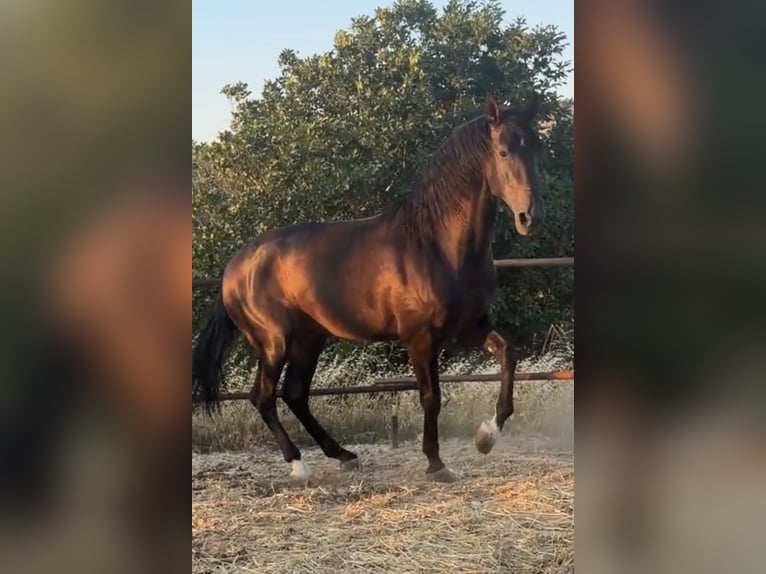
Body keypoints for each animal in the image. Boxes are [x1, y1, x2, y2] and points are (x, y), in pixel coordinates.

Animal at [193, 96, 544, 483]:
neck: (437, 245)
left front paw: (485, 438)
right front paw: (436, 464)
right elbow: (431, 397)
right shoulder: (420, 337)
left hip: (309, 339)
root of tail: (235, 266)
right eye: (503, 152)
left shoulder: (469, 327)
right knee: (263, 397)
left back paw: (344, 455)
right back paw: (299, 464)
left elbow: (508, 356)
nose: (530, 216)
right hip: (274, 343)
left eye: (537, 147)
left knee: (295, 394)